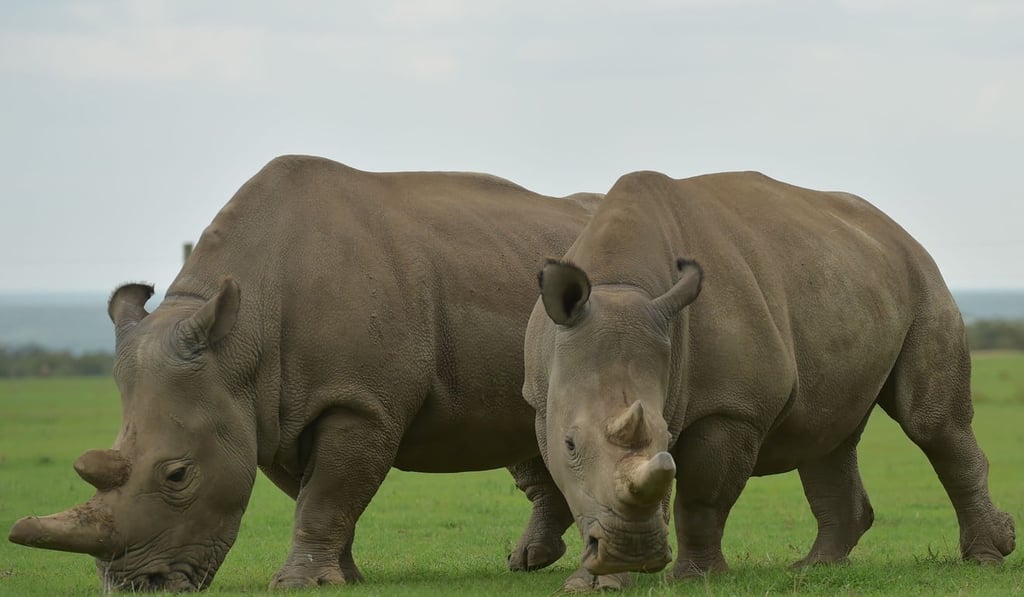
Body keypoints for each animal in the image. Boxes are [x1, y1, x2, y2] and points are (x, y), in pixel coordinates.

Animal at [8, 155, 606, 591]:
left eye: (177, 475)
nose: (136, 586)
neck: (238, 342)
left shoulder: (358, 402)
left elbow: (326, 496)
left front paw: (300, 584)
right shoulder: (267, 412)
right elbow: (318, 494)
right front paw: (343, 578)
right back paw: (528, 561)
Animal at [523, 169, 1015, 589]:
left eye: (667, 436)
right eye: (570, 444)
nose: (634, 552)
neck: (620, 283)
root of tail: (895, 229)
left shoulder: (733, 407)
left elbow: (702, 496)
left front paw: (693, 579)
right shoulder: (543, 403)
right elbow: (577, 488)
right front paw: (591, 584)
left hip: (923, 280)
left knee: (931, 424)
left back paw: (986, 559)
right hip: (847, 278)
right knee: (825, 434)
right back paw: (816, 568)